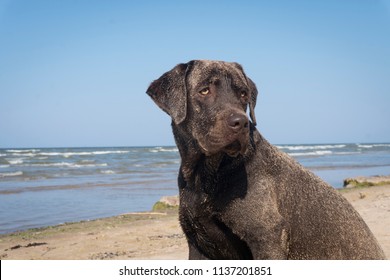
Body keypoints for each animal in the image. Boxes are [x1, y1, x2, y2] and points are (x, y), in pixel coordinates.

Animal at [145, 60, 384, 260]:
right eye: (204, 90)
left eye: (243, 94)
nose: (240, 122)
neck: (206, 174)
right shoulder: (198, 246)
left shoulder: (267, 238)